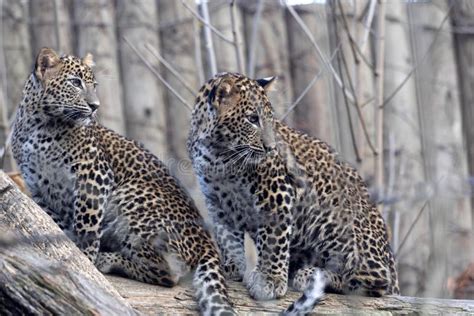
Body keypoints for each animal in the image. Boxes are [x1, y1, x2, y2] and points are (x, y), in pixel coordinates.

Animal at [12, 47, 237, 316]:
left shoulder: (93, 173)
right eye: (75, 83)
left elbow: (86, 225)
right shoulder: (36, 185)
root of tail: (206, 238)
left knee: (168, 275)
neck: (38, 122)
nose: (95, 106)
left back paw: (107, 260)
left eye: (94, 85)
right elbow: (51, 220)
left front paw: (86, 259)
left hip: (132, 194)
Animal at [188, 72, 400, 314]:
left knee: (374, 281)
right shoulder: (218, 204)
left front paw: (269, 280)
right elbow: (228, 239)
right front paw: (233, 268)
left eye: (270, 120)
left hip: (338, 224)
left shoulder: (276, 192)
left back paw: (310, 275)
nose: (271, 147)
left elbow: (273, 240)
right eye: (252, 119)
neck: (220, 155)